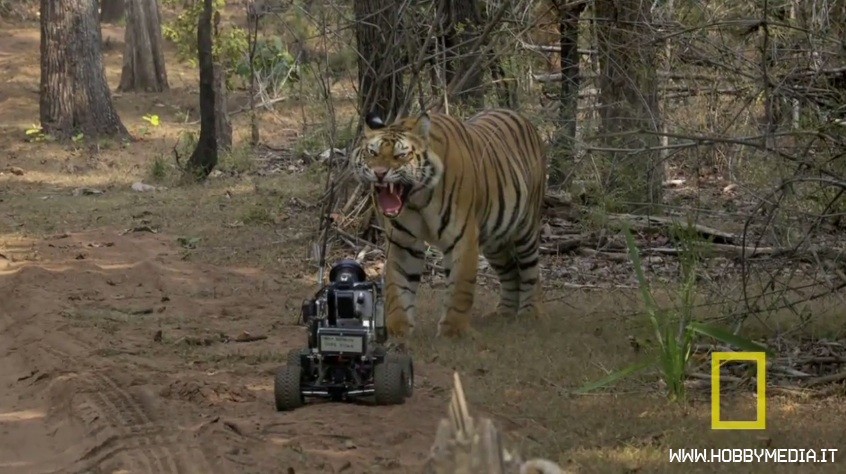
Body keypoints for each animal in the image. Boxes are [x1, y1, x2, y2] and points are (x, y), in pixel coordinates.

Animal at [349, 108, 547, 338]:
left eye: (401, 155)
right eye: (372, 153)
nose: (380, 173)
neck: (417, 200)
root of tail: (522, 118)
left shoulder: (463, 238)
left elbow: (460, 287)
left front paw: (453, 331)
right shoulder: (402, 242)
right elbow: (398, 286)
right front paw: (398, 330)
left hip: (526, 229)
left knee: (531, 271)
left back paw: (530, 313)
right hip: (495, 239)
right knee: (510, 271)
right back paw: (503, 314)